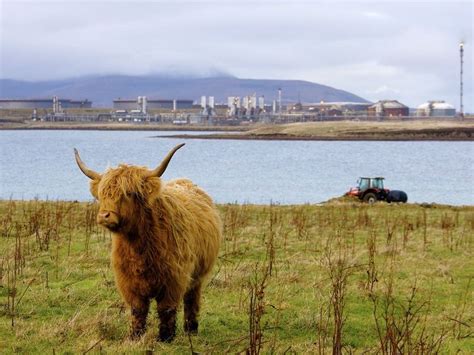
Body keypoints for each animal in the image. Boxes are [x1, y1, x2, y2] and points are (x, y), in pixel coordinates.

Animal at [74, 144, 222, 342]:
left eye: (128, 193)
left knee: (192, 300)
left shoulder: (173, 279)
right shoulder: (128, 281)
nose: (104, 215)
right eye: (102, 194)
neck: (138, 246)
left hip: (198, 275)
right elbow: (138, 310)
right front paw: (134, 337)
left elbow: (166, 309)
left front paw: (166, 338)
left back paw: (191, 330)